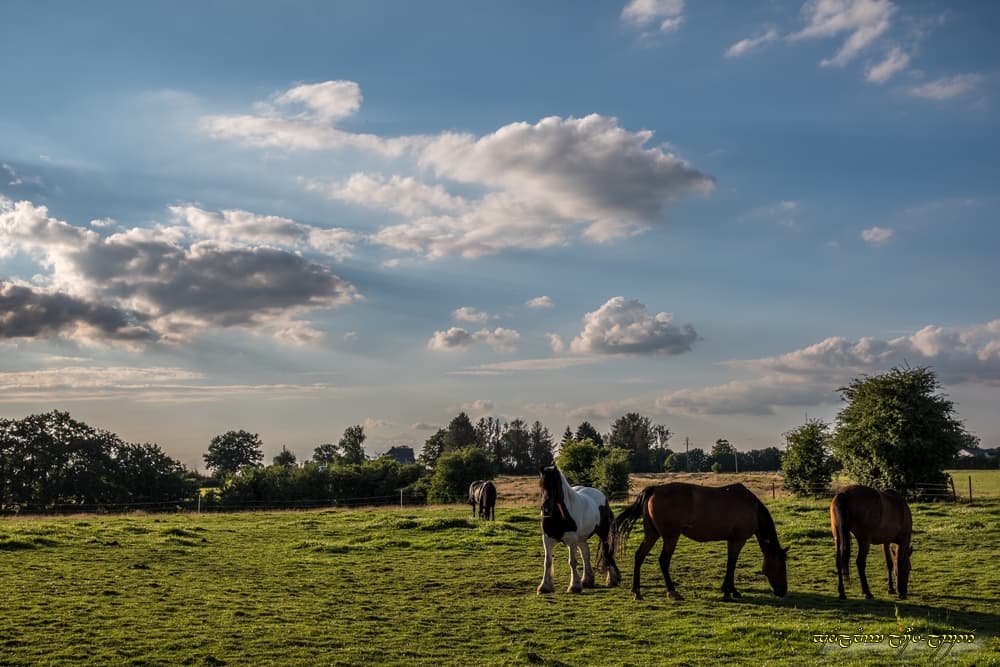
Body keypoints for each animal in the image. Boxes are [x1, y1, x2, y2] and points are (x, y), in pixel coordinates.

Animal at [540, 464, 616, 596]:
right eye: (541, 485)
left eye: (555, 484)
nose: (546, 509)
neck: (560, 516)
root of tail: (603, 497)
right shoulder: (547, 538)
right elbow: (547, 562)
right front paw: (545, 587)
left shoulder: (571, 540)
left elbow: (572, 562)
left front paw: (574, 586)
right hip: (581, 539)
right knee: (585, 555)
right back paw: (586, 581)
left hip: (604, 533)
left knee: (607, 552)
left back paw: (611, 580)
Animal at [608, 482, 788, 604]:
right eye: (781, 566)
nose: (783, 591)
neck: (753, 508)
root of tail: (654, 489)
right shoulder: (738, 540)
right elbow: (732, 564)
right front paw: (731, 591)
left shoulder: (732, 540)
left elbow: (730, 563)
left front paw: (728, 590)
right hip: (670, 537)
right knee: (663, 561)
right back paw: (672, 592)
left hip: (652, 535)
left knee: (639, 556)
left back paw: (637, 591)